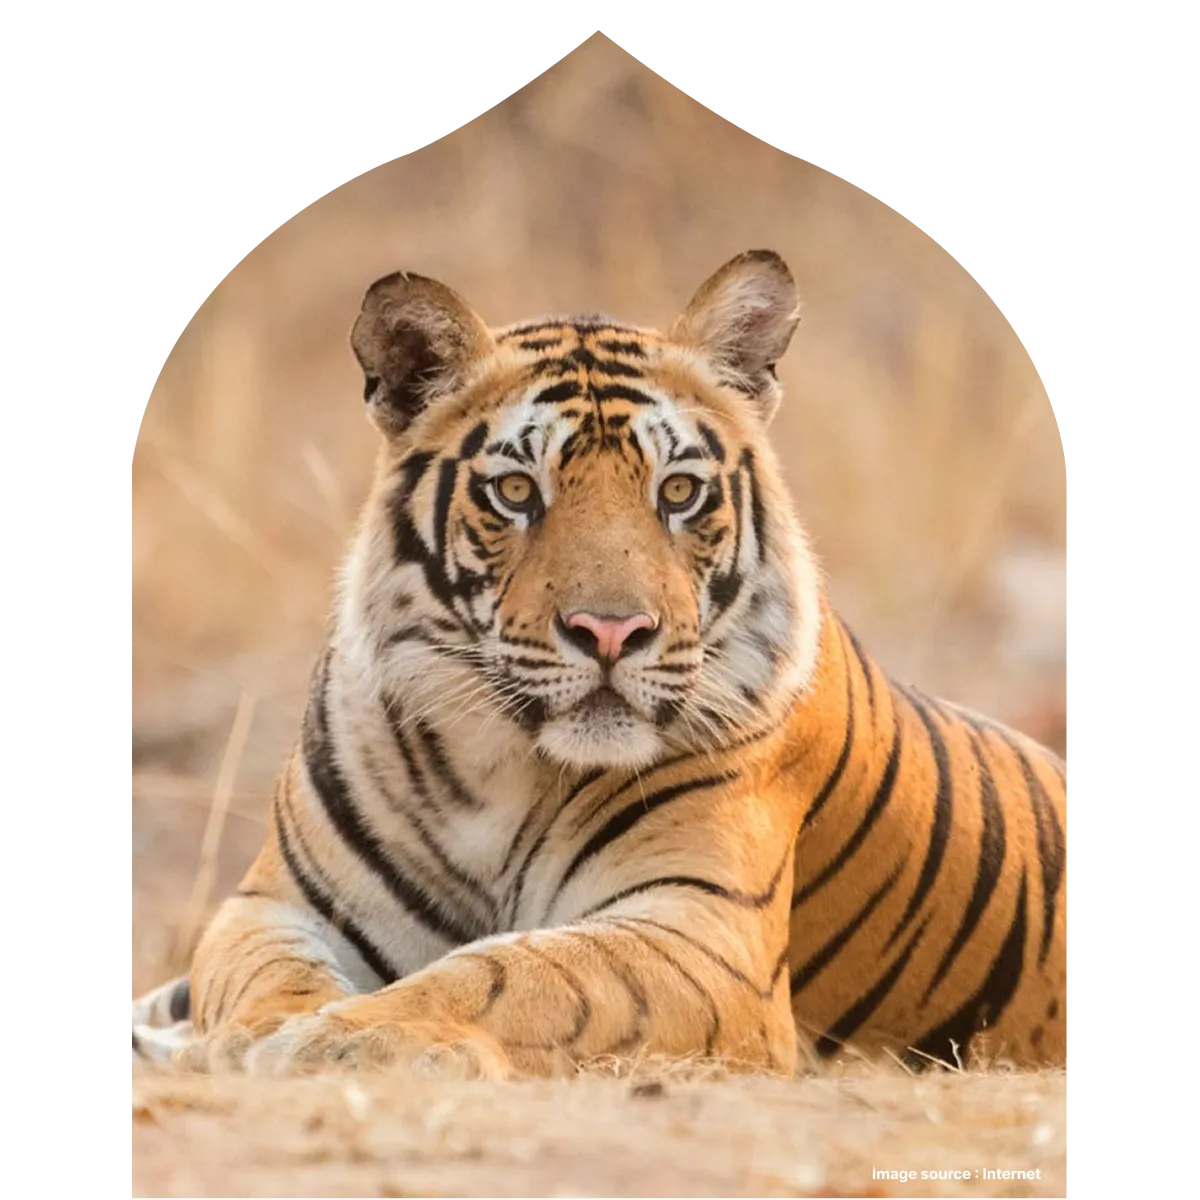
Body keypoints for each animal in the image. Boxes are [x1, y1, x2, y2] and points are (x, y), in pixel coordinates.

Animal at [129, 250, 1069, 1079]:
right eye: (516, 492)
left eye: (679, 492)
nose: (612, 632)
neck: (496, 769)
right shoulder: (277, 905)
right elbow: (259, 974)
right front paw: (255, 1034)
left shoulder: (699, 934)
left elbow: (515, 973)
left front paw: (342, 1038)